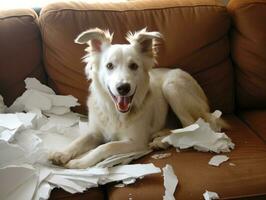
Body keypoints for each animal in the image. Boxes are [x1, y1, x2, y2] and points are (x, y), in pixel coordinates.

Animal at [49, 27, 224, 169]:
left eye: (134, 66)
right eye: (109, 66)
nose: (123, 88)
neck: (115, 113)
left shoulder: (135, 142)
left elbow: (106, 147)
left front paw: (80, 162)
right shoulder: (95, 133)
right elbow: (79, 141)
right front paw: (62, 154)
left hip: (172, 87)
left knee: (190, 126)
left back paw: (162, 141)